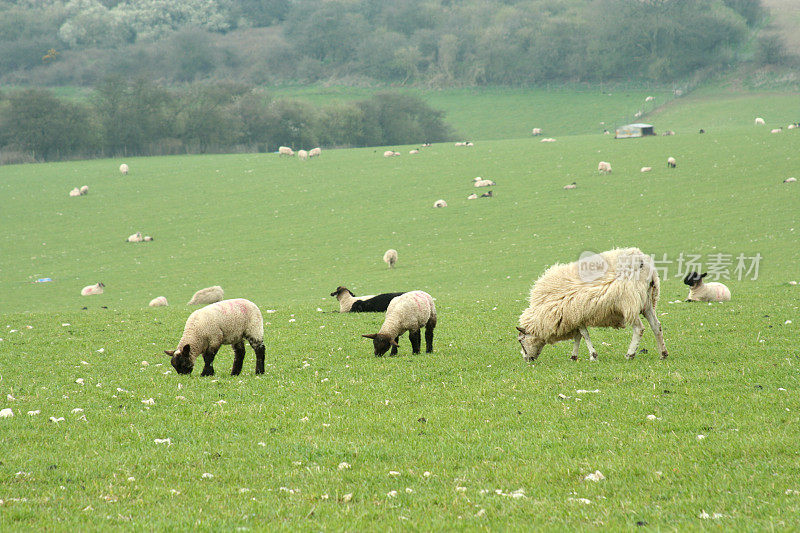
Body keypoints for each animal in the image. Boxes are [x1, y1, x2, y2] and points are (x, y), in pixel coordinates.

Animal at [516, 246, 664, 362]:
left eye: (520, 341)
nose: (526, 359)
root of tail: (644, 262)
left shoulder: (575, 313)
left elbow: (584, 335)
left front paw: (593, 356)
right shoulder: (575, 315)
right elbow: (578, 336)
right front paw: (574, 356)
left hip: (628, 302)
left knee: (639, 329)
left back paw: (630, 354)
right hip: (647, 301)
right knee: (656, 325)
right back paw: (663, 353)